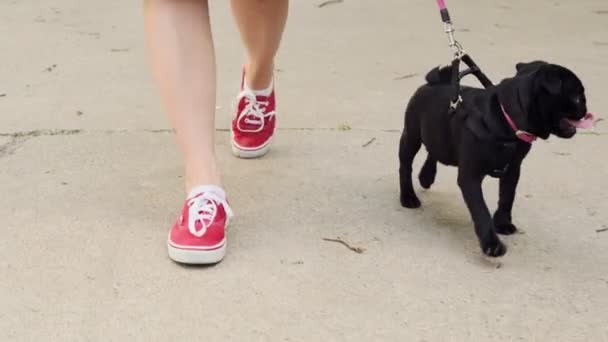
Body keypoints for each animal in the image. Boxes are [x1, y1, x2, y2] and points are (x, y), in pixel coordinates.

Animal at [400, 60, 592, 256]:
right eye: (577, 98)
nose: (586, 109)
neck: (507, 119)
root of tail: (433, 82)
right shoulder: (470, 177)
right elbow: (481, 210)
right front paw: (491, 244)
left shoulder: (513, 169)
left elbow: (507, 197)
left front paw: (502, 223)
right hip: (411, 137)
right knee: (406, 166)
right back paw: (408, 197)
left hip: (439, 138)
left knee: (434, 150)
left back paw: (426, 176)